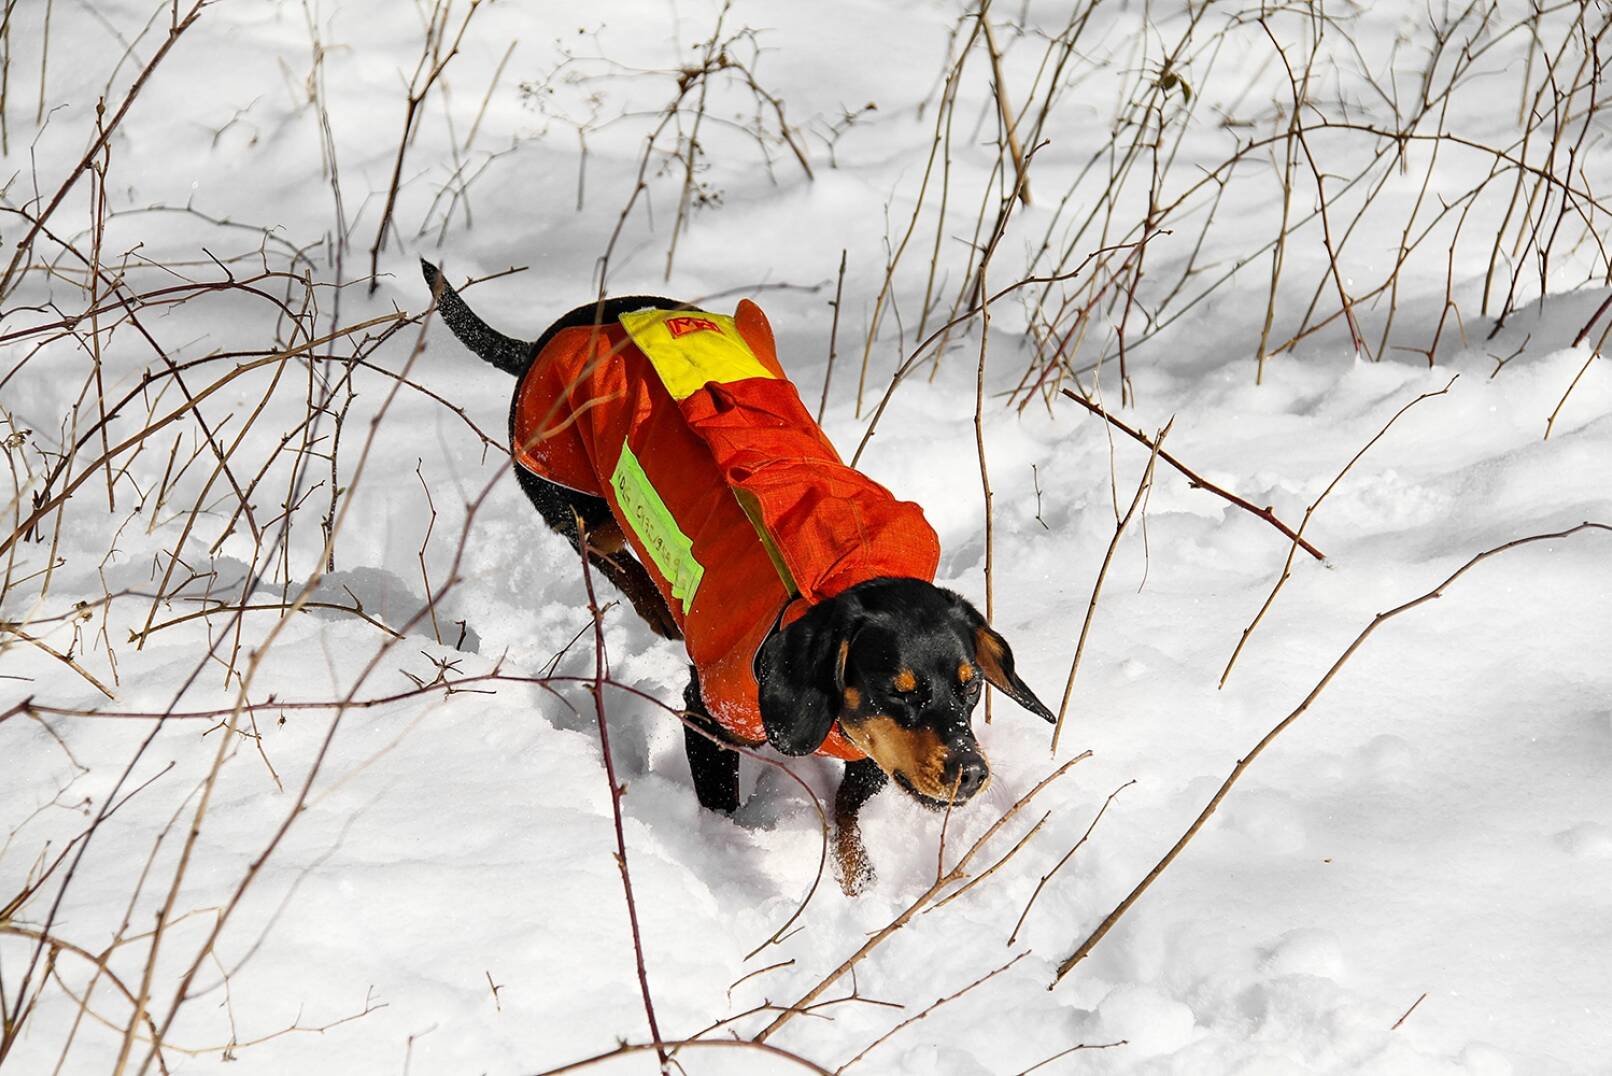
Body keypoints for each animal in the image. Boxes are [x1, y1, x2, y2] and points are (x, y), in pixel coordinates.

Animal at [422, 264, 1051, 896]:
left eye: (971, 687)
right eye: (897, 691)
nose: (972, 773)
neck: (836, 576)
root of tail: (546, 337)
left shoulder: (868, 748)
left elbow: (848, 811)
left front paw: (858, 882)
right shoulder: (709, 715)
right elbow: (723, 810)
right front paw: (726, 856)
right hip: (566, 488)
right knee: (596, 545)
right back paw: (656, 605)